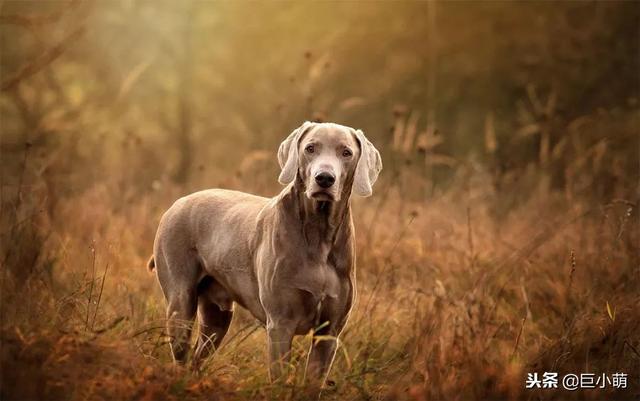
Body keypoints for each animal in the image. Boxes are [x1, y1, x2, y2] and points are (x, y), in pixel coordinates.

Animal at [148, 121, 382, 384]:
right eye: (310, 148)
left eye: (346, 153)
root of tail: (176, 204)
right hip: (180, 303)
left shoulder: (329, 332)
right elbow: (278, 378)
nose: (324, 178)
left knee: (199, 356)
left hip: (218, 315)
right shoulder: (280, 324)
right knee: (181, 353)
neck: (318, 234)